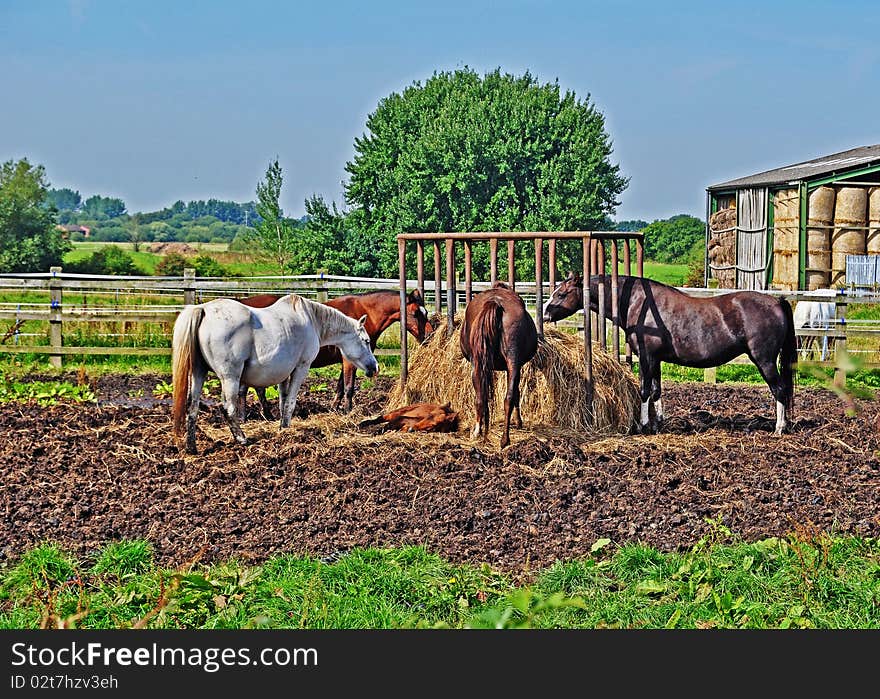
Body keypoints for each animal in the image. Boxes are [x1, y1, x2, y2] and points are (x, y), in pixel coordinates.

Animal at [172, 294, 378, 454]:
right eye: (366, 341)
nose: (374, 367)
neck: (311, 320)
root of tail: (203, 309)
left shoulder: (284, 374)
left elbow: (282, 402)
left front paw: (282, 429)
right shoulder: (301, 368)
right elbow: (290, 402)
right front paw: (285, 429)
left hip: (198, 373)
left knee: (192, 407)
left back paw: (191, 447)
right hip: (230, 378)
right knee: (228, 408)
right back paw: (242, 439)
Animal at [237, 290, 430, 416]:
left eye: (425, 312)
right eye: (415, 313)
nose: (429, 335)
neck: (364, 312)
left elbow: (340, 387)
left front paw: (334, 408)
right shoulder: (350, 361)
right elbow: (349, 387)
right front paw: (347, 412)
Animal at [458, 280, 540, 448]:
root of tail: (495, 302)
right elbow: (514, 393)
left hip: (481, 363)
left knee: (483, 396)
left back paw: (482, 432)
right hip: (510, 362)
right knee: (506, 397)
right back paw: (502, 439)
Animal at [544, 274, 796, 434]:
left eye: (562, 293)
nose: (544, 313)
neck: (639, 303)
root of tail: (777, 302)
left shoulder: (646, 358)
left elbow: (644, 390)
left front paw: (643, 426)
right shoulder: (655, 360)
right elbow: (656, 391)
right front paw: (657, 424)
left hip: (764, 360)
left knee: (779, 390)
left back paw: (779, 428)